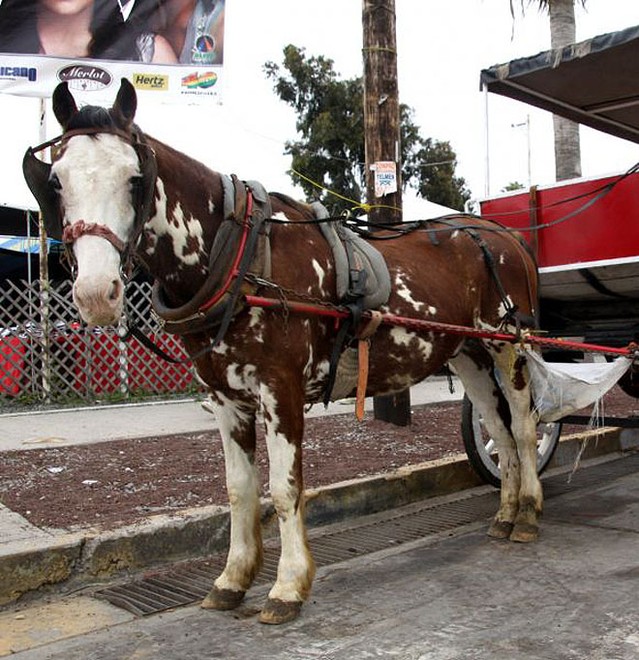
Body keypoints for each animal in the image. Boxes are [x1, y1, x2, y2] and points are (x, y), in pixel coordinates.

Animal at [26, 81, 544, 624]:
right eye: (56, 180)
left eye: (134, 179)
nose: (94, 293)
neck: (238, 257)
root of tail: (506, 235)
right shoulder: (226, 398)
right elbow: (239, 489)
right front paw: (232, 579)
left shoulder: (281, 389)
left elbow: (284, 487)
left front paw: (288, 585)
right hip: (468, 355)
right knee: (498, 432)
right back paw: (505, 513)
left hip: (509, 346)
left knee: (525, 428)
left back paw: (529, 513)